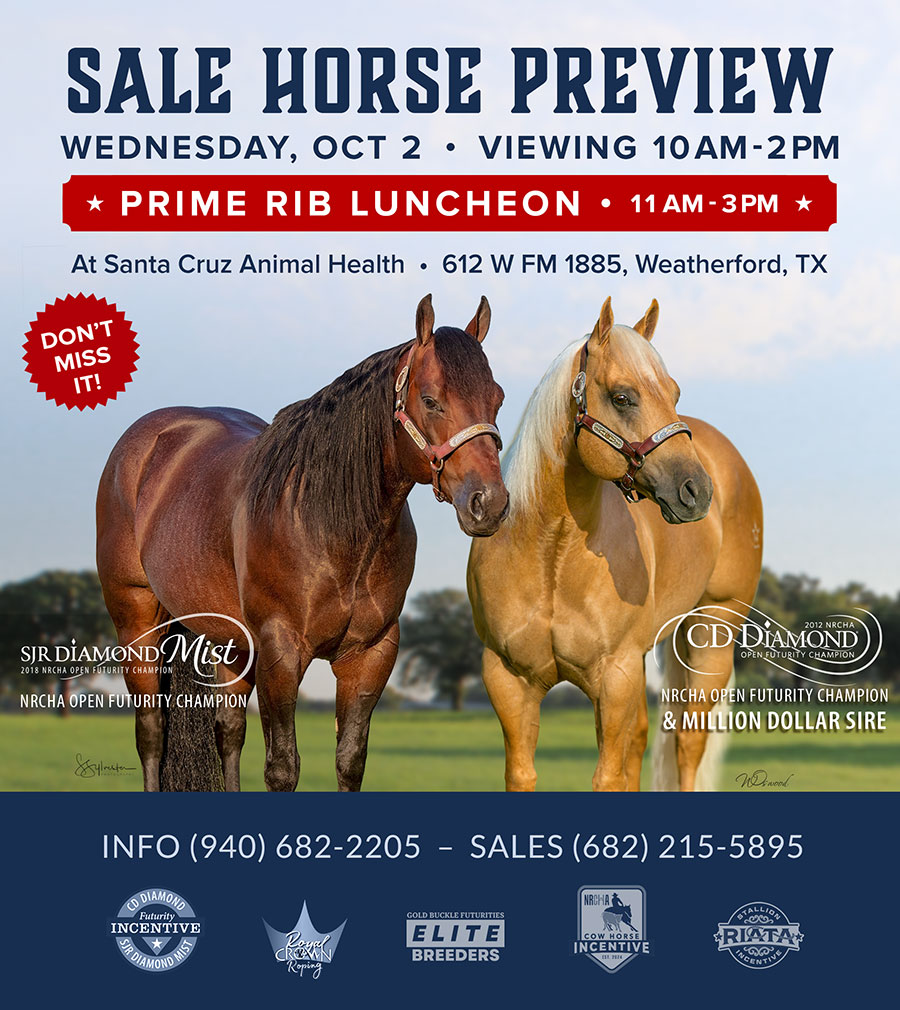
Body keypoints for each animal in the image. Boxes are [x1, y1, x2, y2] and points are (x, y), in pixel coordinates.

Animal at [97, 294, 508, 792]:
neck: (333, 526)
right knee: (152, 731)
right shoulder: (281, 650)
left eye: (497, 397)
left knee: (228, 732)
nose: (488, 503)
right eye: (430, 400)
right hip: (137, 624)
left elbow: (349, 760)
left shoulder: (370, 655)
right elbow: (282, 768)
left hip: (230, 641)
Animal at [467, 297, 763, 792]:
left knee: (688, 743)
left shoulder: (615, 677)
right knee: (642, 740)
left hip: (711, 632)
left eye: (674, 393)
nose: (697, 491)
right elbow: (525, 775)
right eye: (623, 397)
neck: (551, 557)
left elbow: (608, 776)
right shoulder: (507, 680)